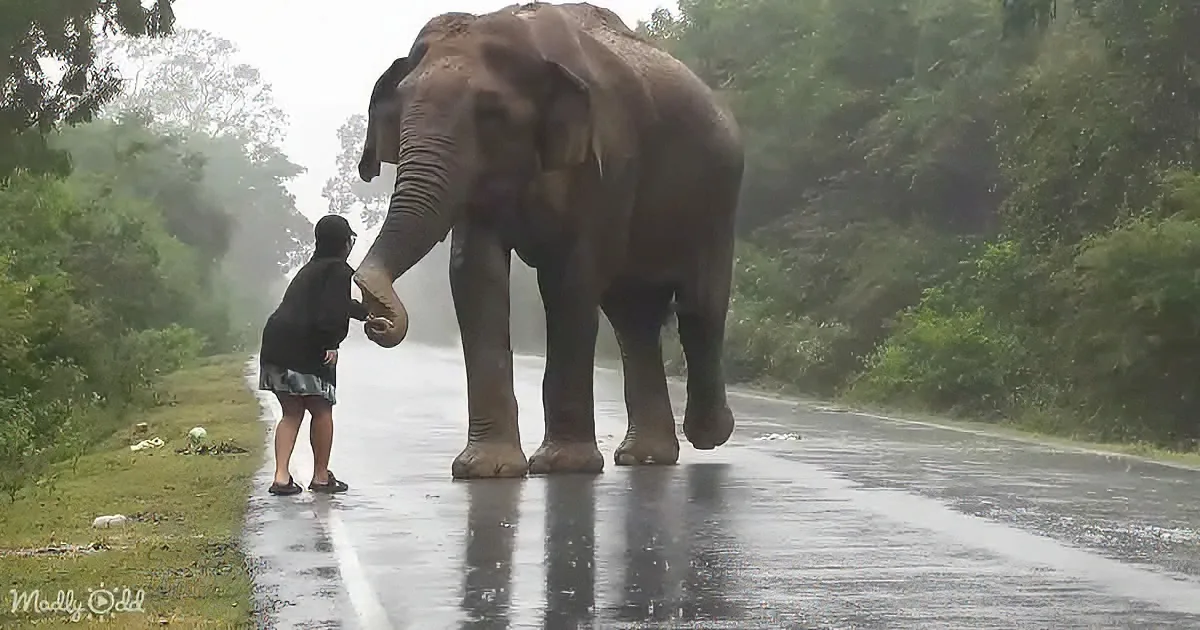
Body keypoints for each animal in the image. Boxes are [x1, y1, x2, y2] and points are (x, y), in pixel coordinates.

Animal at [351, 2, 744, 479]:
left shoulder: (609, 158)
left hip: (717, 199)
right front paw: (485, 469)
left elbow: (567, 280)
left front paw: (561, 465)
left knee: (697, 306)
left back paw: (708, 433)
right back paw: (645, 457)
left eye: (491, 113)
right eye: (401, 109)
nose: (375, 322)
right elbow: (474, 275)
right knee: (633, 315)